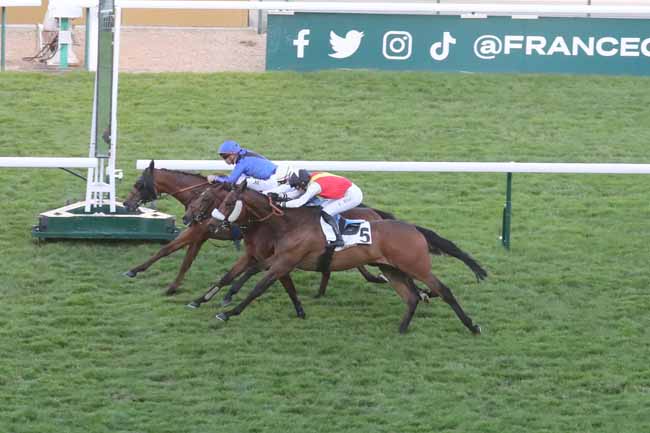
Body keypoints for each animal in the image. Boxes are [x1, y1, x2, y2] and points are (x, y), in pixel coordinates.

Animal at [185, 181, 484, 332]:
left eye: (224, 202)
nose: (210, 224)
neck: (284, 224)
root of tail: (413, 228)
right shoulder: (276, 259)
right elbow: (238, 275)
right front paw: (203, 300)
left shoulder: (281, 260)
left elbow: (257, 285)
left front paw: (228, 311)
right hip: (392, 268)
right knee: (410, 296)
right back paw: (402, 328)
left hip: (416, 266)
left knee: (443, 290)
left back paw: (471, 325)